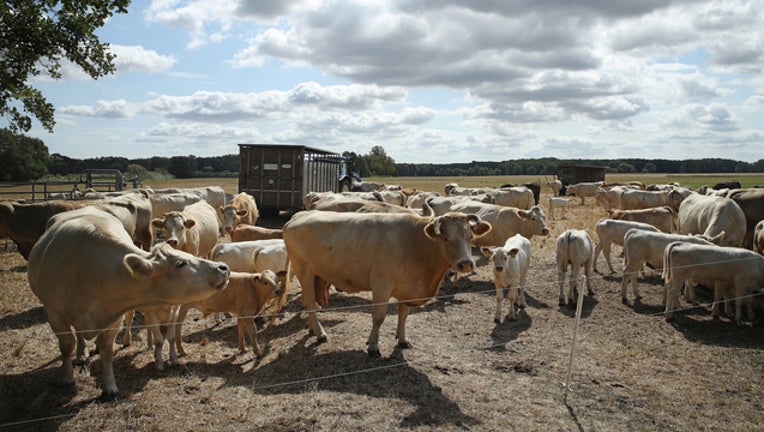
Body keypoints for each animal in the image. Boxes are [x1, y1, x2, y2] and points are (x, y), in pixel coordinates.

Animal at [27, 206, 230, 398]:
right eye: (180, 263)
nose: (223, 267)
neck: (91, 270)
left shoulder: (114, 316)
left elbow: (107, 349)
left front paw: (109, 386)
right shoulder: (54, 312)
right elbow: (67, 344)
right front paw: (66, 376)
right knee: (79, 336)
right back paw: (81, 353)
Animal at [283, 210, 491, 356]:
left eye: (471, 238)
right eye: (446, 238)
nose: (466, 264)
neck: (415, 243)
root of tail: (299, 215)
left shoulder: (407, 289)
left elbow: (404, 315)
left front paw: (402, 339)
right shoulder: (381, 283)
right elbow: (379, 317)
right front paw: (373, 346)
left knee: (308, 301)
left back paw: (312, 328)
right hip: (304, 271)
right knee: (310, 303)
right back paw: (320, 333)